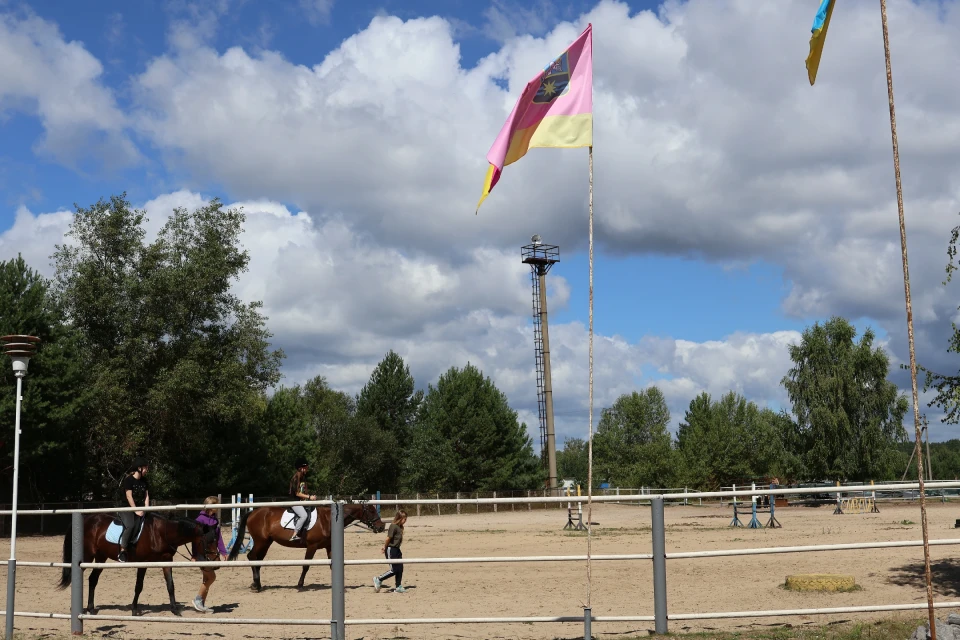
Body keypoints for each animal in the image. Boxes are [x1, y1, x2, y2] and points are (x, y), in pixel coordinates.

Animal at [57, 510, 219, 616]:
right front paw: (134, 610)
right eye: (209, 541)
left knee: (93, 579)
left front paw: (175, 610)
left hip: (101, 558)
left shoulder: (166, 560)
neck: (160, 532)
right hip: (87, 557)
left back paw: (91, 608)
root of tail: (87, 519)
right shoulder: (144, 562)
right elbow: (139, 586)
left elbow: (170, 585)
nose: (217, 563)